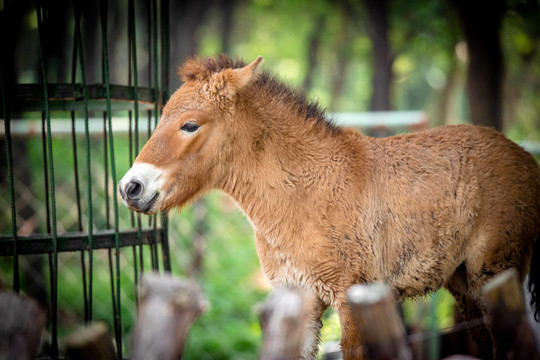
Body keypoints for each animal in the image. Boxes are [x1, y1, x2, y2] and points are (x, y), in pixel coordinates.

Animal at [120, 54, 540, 360]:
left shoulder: (353, 299)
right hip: (464, 283)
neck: (305, 191)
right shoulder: (299, 301)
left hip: (496, 274)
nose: (130, 187)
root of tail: (524, 157)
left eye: (190, 125)